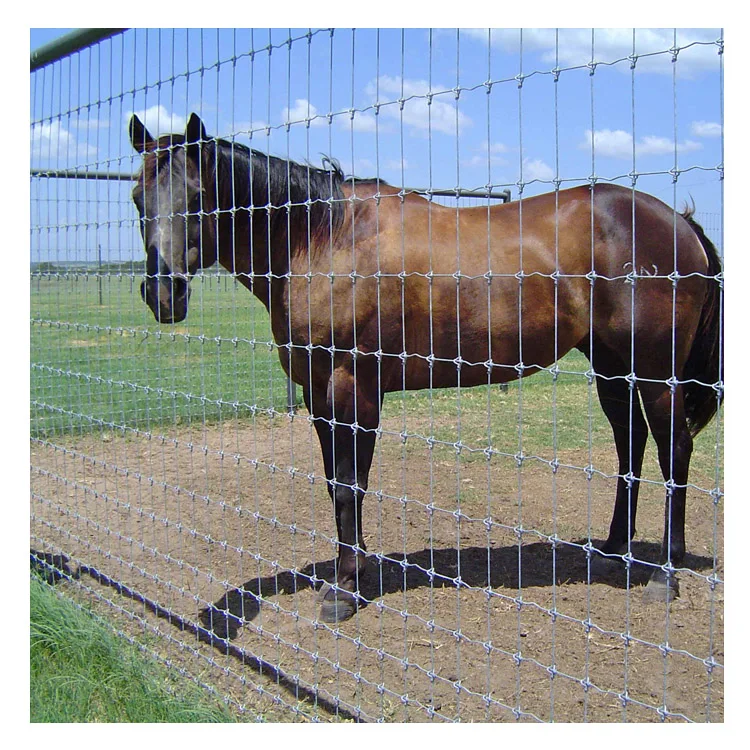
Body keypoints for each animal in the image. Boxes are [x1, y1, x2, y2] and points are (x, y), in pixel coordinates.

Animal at [129, 113, 722, 623]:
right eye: (138, 198)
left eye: (199, 198)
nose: (163, 293)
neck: (323, 237)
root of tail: (680, 223)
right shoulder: (318, 393)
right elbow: (335, 483)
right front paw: (352, 568)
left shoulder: (354, 388)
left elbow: (350, 484)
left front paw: (345, 589)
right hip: (612, 367)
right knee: (630, 443)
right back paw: (614, 549)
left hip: (655, 373)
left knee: (673, 450)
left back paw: (664, 574)